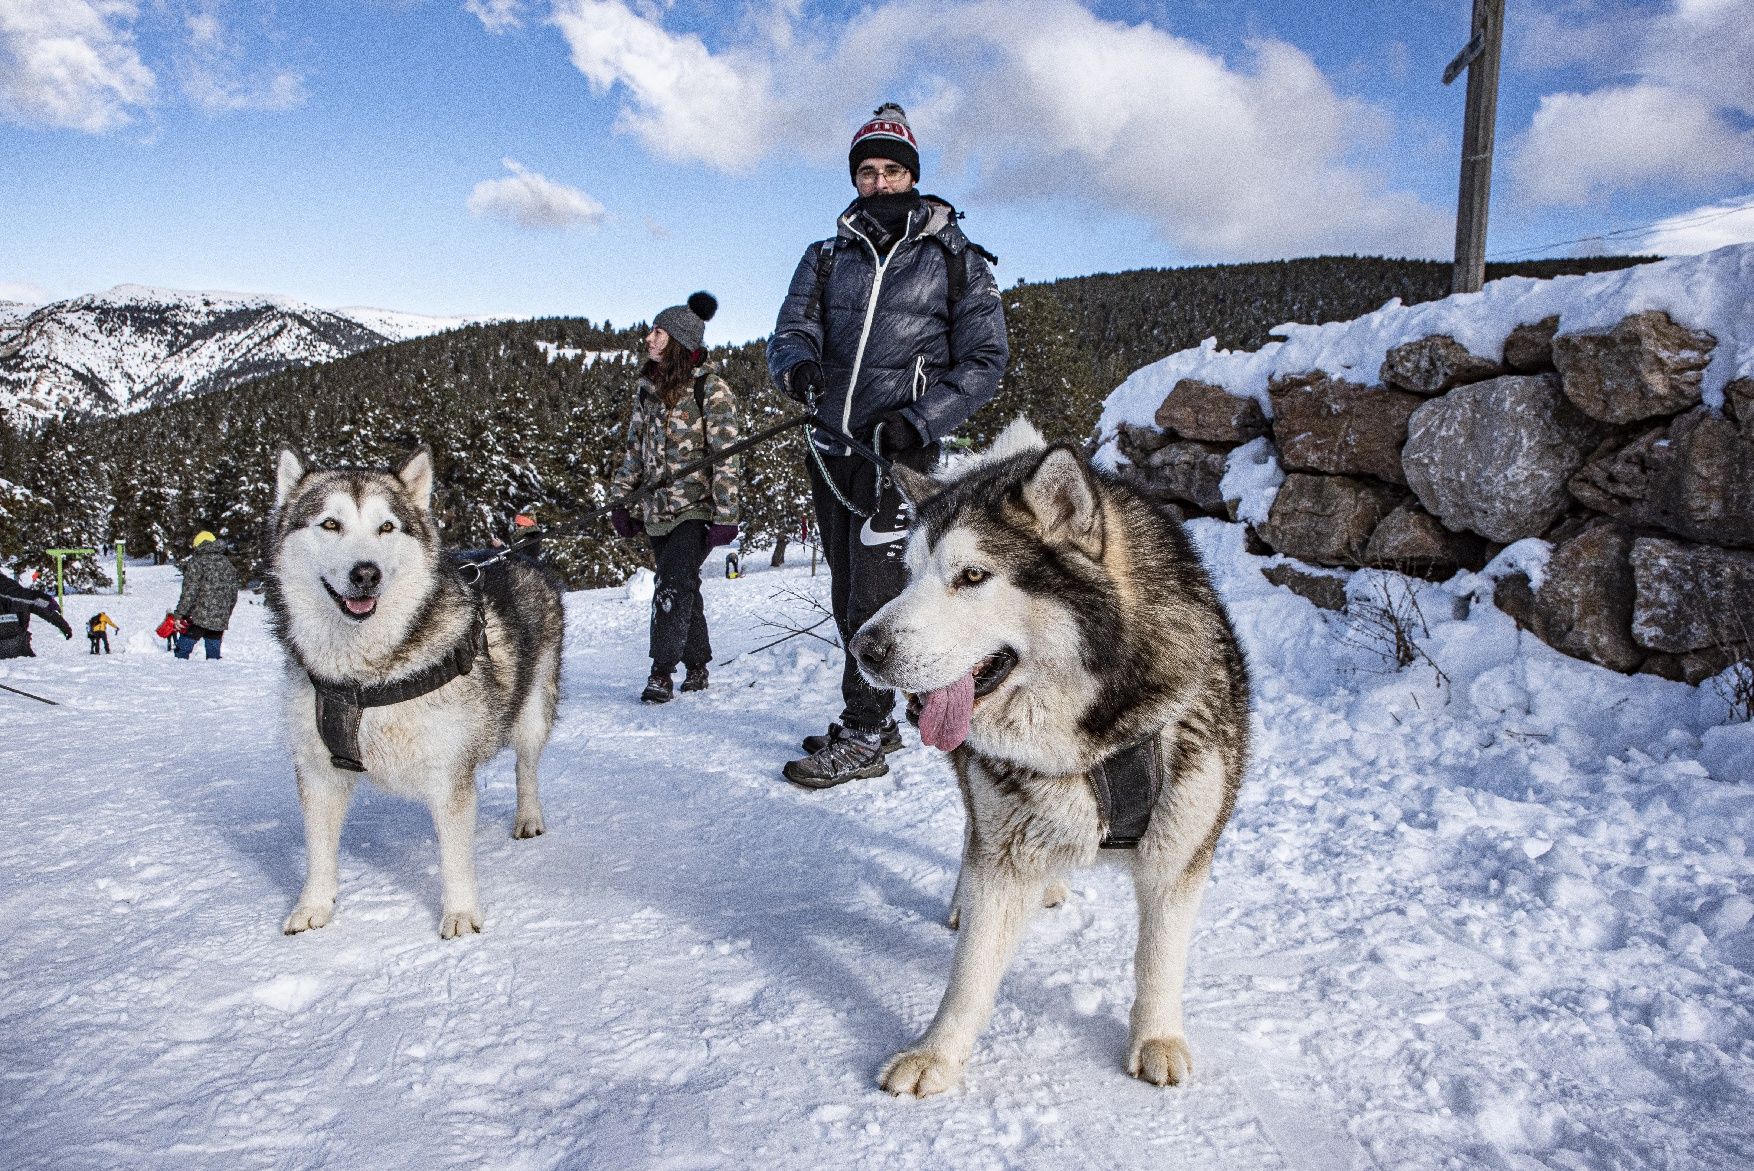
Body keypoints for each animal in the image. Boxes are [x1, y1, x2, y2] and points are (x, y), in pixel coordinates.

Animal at [263, 448, 564, 939]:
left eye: (387, 527)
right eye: (330, 524)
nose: (366, 573)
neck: (366, 676)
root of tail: (517, 553)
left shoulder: (448, 768)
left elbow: (456, 857)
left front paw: (460, 913)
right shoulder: (317, 768)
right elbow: (319, 850)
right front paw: (314, 906)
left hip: (534, 711)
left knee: (526, 765)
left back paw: (528, 817)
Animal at [845, 422, 1248, 1100]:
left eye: (972, 575)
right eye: (910, 573)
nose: (863, 648)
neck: (1098, 733)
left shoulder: (1181, 844)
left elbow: (1159, 956)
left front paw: (1157, 1038)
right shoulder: (1004, 845)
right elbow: (972, 968)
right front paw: (937, 1052)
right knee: (974, 834)